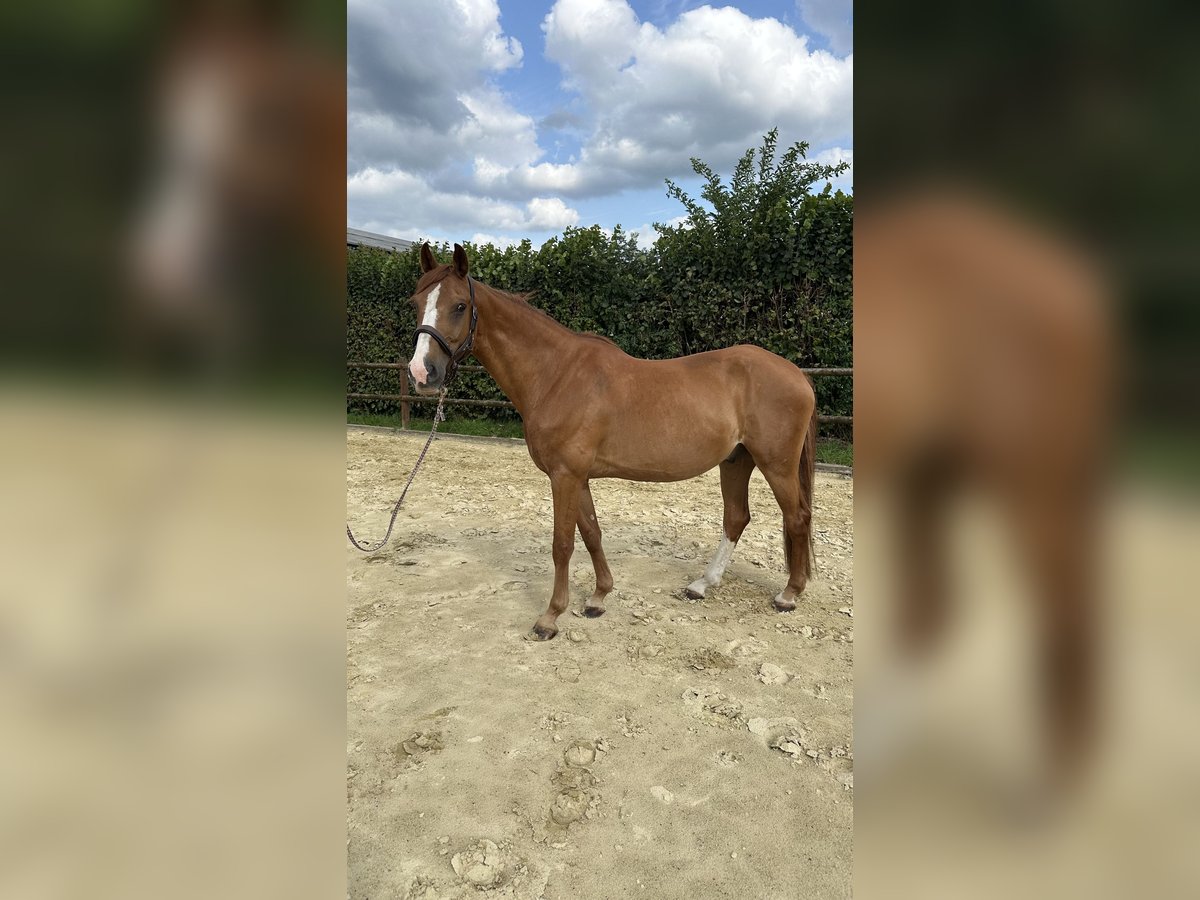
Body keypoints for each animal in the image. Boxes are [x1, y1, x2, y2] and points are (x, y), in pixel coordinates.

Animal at [407, 243, 819, 640]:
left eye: (460, 306)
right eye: (415, 303)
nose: (422, 373)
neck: (556, 374)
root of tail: (796, 373)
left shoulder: (564, 476)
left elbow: (562, 544)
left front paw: (550, 617)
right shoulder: (577, 477)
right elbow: (591, 533)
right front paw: (598, 597)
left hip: (776, 464)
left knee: (797, 517)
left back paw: (788, 595)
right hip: (736, 460)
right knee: (737, 517)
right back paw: (702, 584)